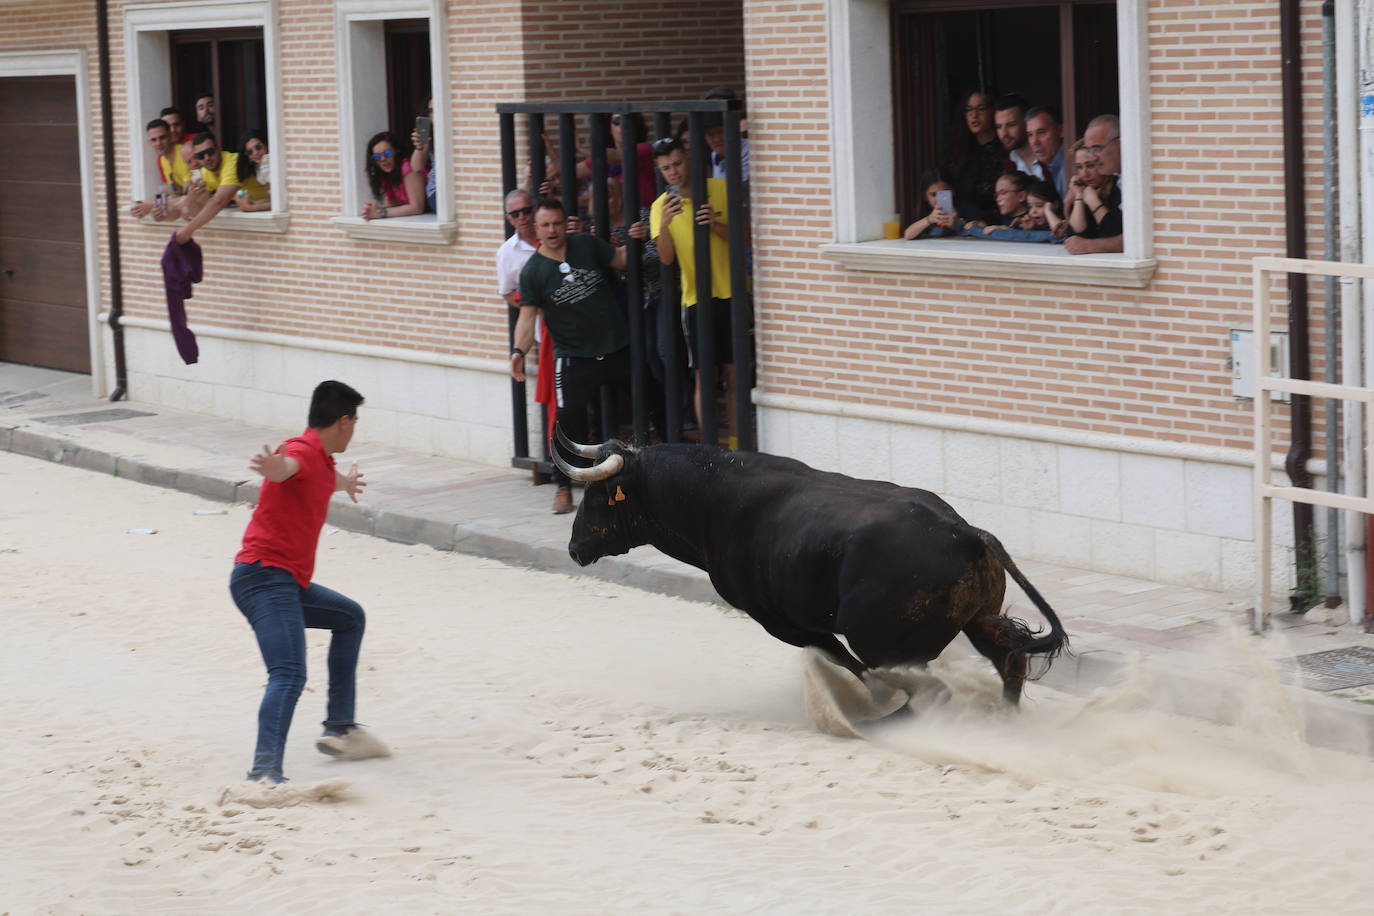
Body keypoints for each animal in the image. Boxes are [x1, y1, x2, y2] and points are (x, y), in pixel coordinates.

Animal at [552, 431, 1066, 708]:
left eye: (596, 496)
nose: (574, 548)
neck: (712, 499)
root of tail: (966, 531)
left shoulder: (785, 624)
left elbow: (846, 663)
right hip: (977, 619)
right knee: (1010, 659)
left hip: (887, 642)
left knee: (933, 679)